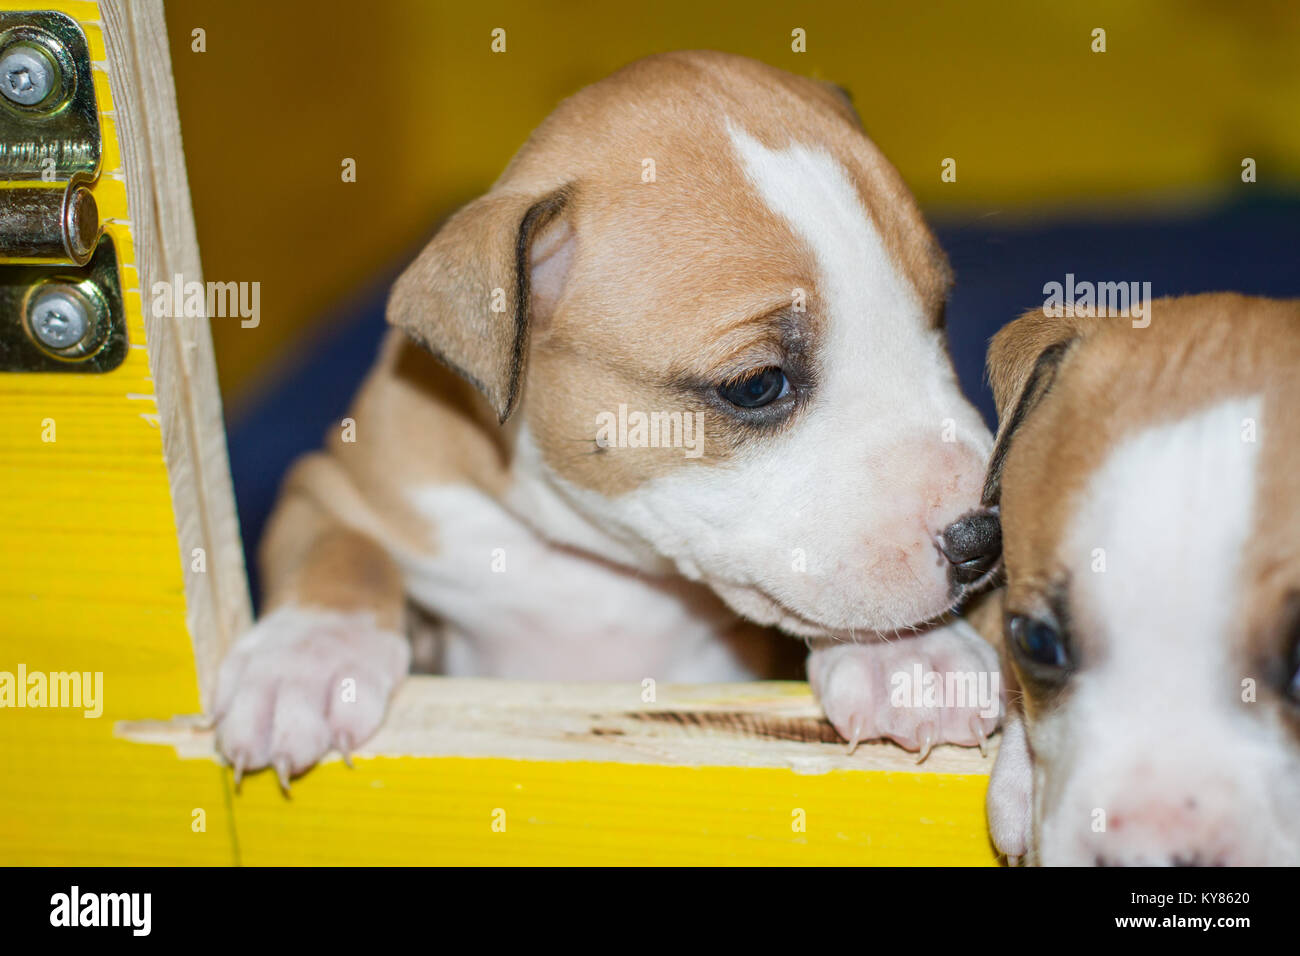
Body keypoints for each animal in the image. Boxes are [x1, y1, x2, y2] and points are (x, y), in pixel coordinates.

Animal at [215, 50, 1003, 785]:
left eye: (937, 315)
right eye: (756, 385)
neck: (603, 561)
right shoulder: (338, 484)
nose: (984, 540)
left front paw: (918, 658)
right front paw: (303, 660)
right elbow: (340, 550)